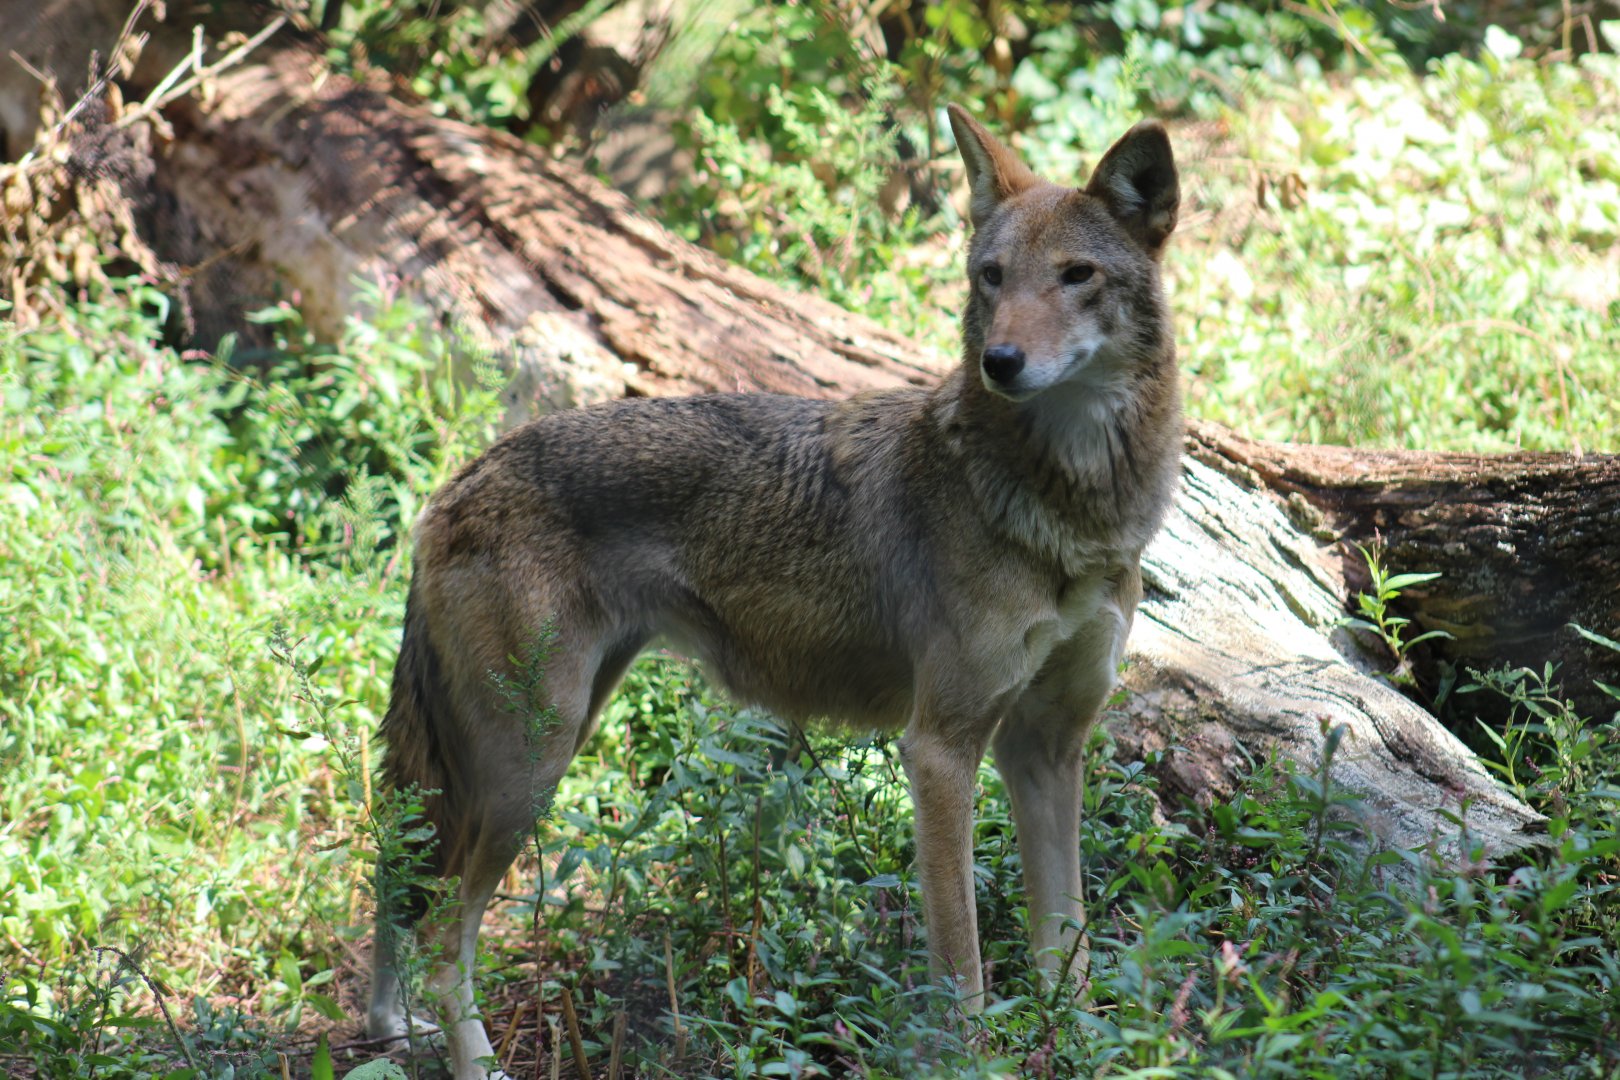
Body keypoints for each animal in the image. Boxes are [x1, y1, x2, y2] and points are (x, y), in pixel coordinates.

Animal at [367, 106, 1182, 1078]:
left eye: (1076, 276)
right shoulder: (940, 751)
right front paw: (977, 1056)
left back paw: (392, 1028)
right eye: (992, 277)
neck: (1071, 510)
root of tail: (453, 484)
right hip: (529, 765)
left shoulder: (1048, 749)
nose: (1001, 360)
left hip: (518, 754)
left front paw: (1086, 1048)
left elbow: (1069, 951)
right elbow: (965, 970)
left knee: (395, 877)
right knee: (441, 937)